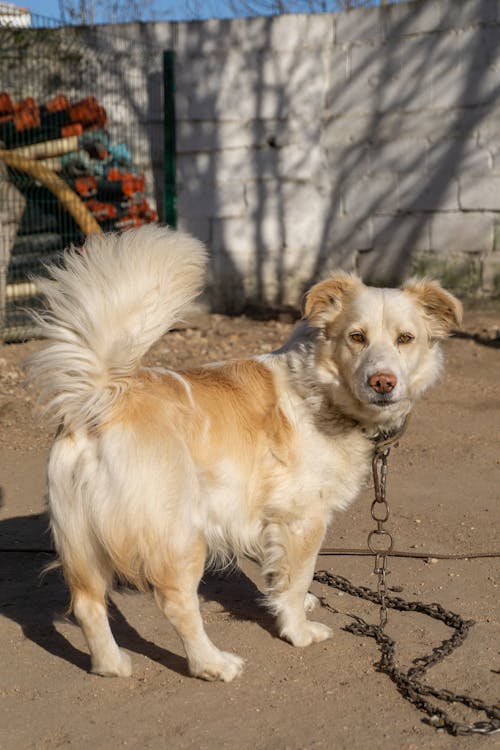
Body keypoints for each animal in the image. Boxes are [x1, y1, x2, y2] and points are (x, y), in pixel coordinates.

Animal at [28, 226, 460, 684]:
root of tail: (101, 398)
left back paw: (111, 665)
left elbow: (279, 573)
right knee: (176, 603)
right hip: (179, 537)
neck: (320, 389)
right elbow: (298, 576)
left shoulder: (264, 515)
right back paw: (213, 664)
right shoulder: (302, 518)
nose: (383, 382)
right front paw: (298, 630)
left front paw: (293, 602)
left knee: (87, 603)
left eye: (405, 339)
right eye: (356, 337)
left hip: (81, 544)